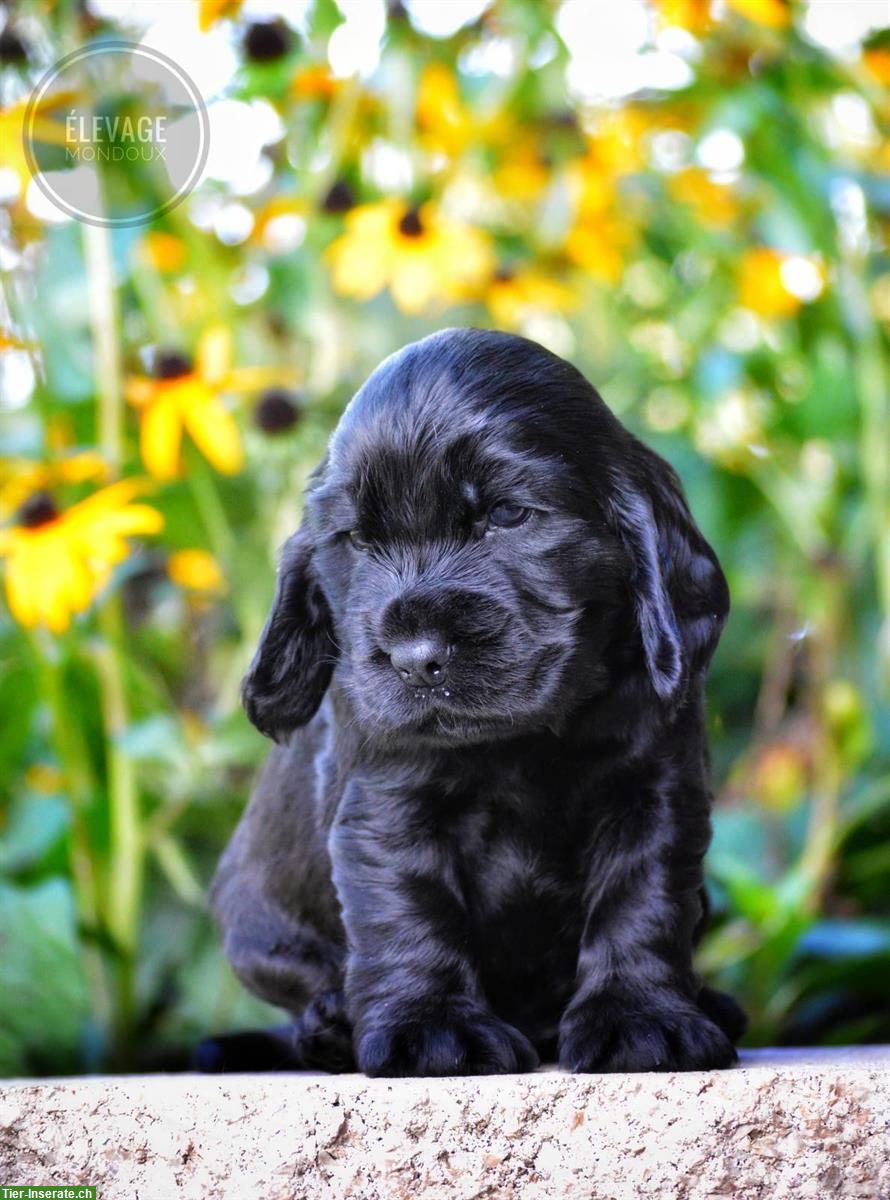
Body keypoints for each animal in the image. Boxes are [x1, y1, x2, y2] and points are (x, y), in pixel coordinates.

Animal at [207, 328, 743, 1080]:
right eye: (357, 539)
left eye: (508, 515)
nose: (414, 657)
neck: (526, 741)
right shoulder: (389, 803)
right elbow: (410, 910)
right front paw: (432, 1031)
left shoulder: (654, 791)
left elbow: (641, 899)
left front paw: (643, 1019)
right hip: (254, 925)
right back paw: (333, 1025)